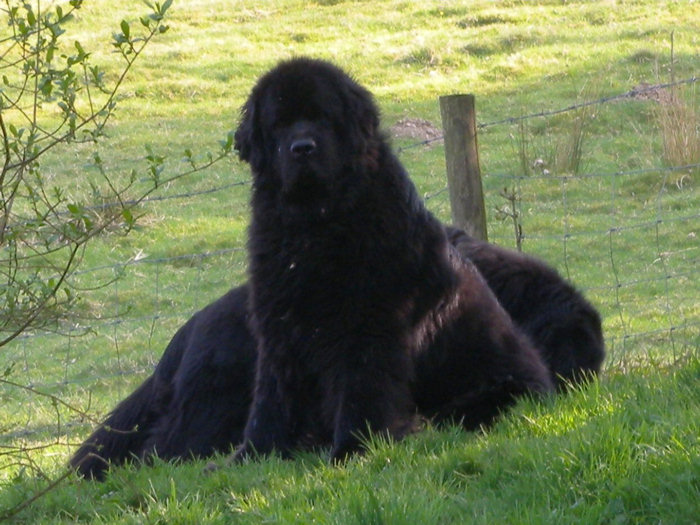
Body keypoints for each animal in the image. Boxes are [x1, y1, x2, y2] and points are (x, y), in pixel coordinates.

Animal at [72, 58, 608, 478]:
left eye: (323, 119)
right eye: (280, 123)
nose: (302, 148)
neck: (314, 225)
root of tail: (184, 333)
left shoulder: (368, 330)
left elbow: (361, 397)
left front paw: (350, 453)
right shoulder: (281, 332)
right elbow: (271, 405)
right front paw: (253, 460)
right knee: (158, 450)